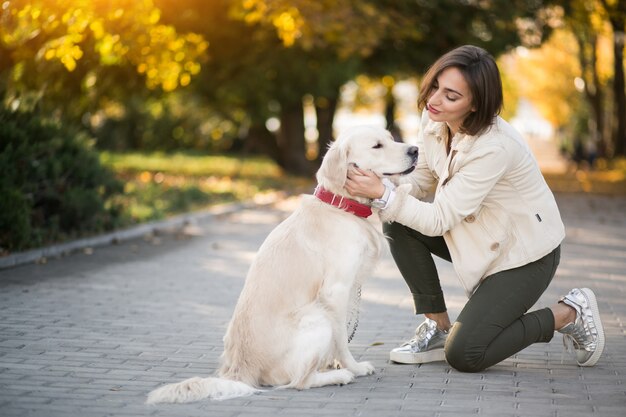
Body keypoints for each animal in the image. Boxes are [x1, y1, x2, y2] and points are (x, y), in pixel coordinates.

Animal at [146, 127, 416, 404]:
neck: (340, 205)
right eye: (377, 146)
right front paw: (353, 367)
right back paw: (338, 376)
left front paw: (332, 363)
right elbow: (341, 339)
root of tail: (239, 371)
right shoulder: (336, 290)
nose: (415, 150)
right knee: (299, 382)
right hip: (316, 316)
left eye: (391, 138)